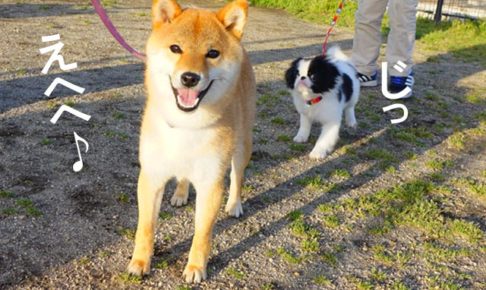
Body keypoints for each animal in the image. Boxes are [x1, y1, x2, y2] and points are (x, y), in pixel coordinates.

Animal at [129, 0, 256, 284]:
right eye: (176, 48)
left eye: (213, 53)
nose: (190, 77)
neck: (187, 125)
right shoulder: (151, 177)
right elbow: (145, 227)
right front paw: (140, 262)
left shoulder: (211, 184)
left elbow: (202, 234)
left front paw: (196, 267)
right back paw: (180, 193)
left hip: (242, 145)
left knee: (238, 176)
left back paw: (234, 204)